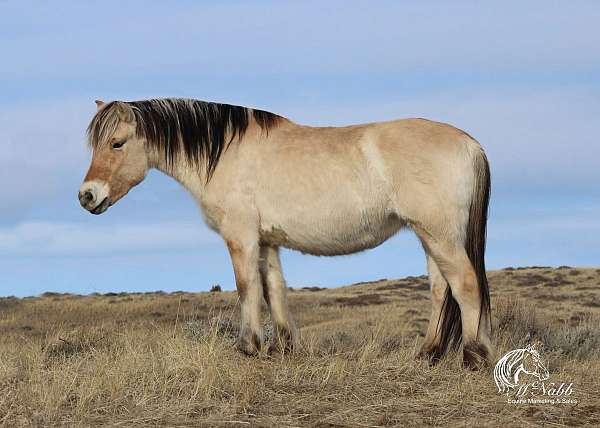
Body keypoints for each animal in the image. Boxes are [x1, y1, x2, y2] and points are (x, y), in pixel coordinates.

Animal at [78, 98, 492, 368]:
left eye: (117, 143)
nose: (87, 196)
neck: (225, 152)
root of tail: (470, 144)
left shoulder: (241, 237)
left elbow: (247, 287)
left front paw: (248, 347)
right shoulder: (266, 241)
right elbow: (274, 288)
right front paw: (284, 347)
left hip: (439, 235)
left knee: (466, 285)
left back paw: (473, 355)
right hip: (430, 236)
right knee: (441, 289)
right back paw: (428, 354)